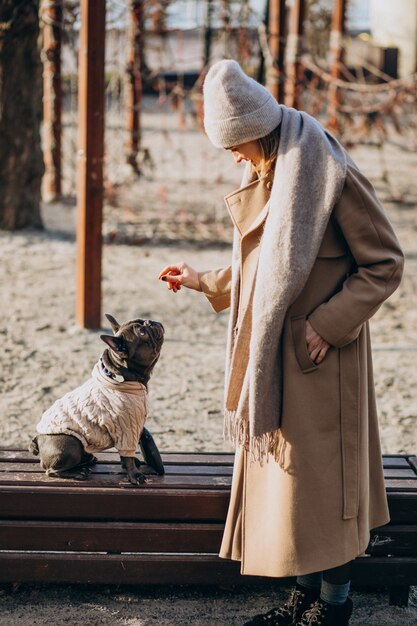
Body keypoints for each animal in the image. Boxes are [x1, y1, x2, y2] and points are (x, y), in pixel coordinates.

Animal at [29, 312, 165, 482]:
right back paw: (78, 472)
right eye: (142, 332)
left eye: (143, 321)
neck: (124, 376)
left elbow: (126, 456)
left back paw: (87, 460)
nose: (150, 321)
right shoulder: (127, 431)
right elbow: (127, 455)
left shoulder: (133, 430)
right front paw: (134, 475)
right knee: (52, 470)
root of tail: (37, 441)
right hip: (71, 444)